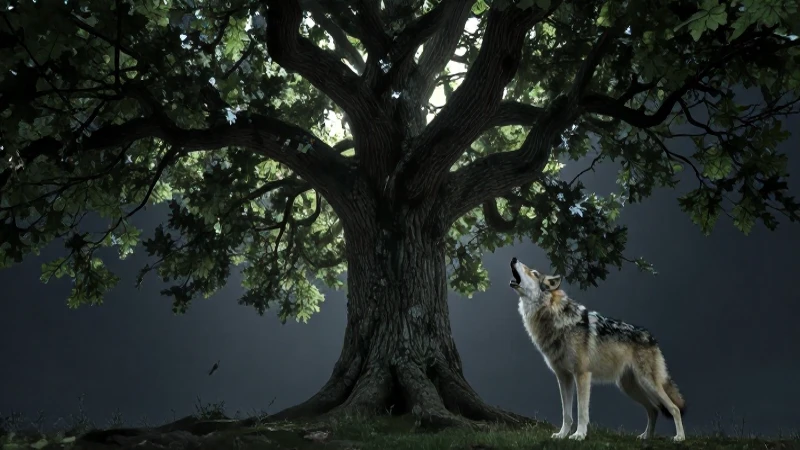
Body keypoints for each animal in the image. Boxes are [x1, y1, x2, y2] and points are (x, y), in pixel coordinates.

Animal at [509, 257, 686, 442]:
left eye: (533, 273)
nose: (514, 258)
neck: (553, 317)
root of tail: (651, 338)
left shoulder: (582, 375)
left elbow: (581, 412)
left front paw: (579, 435)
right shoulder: (563, 377)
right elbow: (566, 413)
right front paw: (562, 435)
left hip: (648, 384)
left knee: (674, 408)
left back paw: (679, 437)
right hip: (630, 387)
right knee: (653, 409)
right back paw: (646, 436)